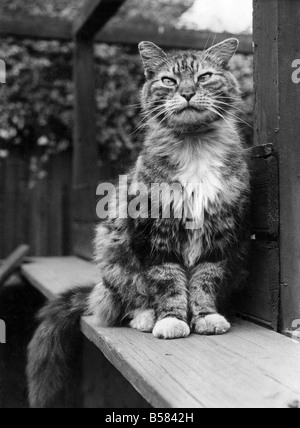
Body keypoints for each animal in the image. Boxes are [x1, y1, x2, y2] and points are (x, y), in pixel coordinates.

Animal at [27, 37, 250, 408]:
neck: (194, 144)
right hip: (113, 254)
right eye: (168, 81)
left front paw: (205, 317)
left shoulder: (220, 233)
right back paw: (147, 317)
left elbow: (204, 281)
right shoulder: (154, 235)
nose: (187, 92)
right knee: (124, 303)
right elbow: (169, 282)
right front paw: (172, 320)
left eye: (204, 77)